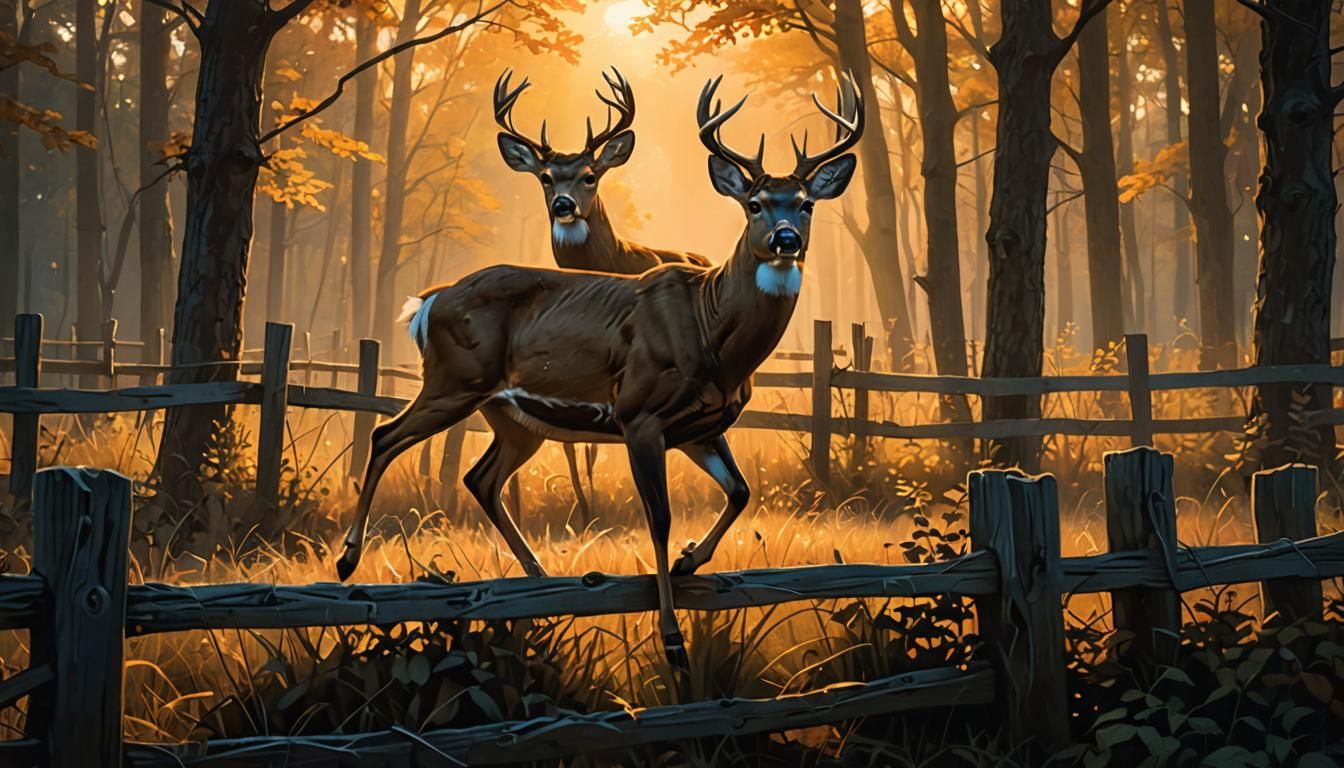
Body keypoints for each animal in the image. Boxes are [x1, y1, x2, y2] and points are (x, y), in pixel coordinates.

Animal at [494, 67, 712, 523]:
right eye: (545, 177)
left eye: (590, 175)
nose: (563, 205)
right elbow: (572, 441)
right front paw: (582, 510)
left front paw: (600, 507)